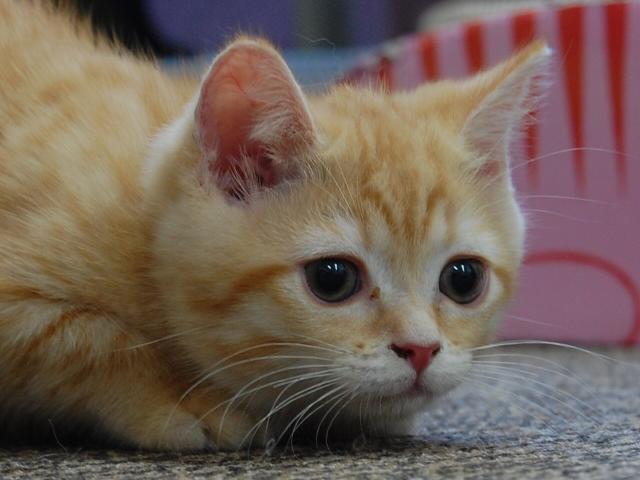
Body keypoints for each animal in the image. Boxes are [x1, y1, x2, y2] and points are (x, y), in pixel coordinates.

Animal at [0, 1, 549, 450]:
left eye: (464, 279)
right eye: (332, 279)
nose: (420, 350)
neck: (141, 227)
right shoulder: (18, 303)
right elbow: (91, 339)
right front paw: (182, 400)